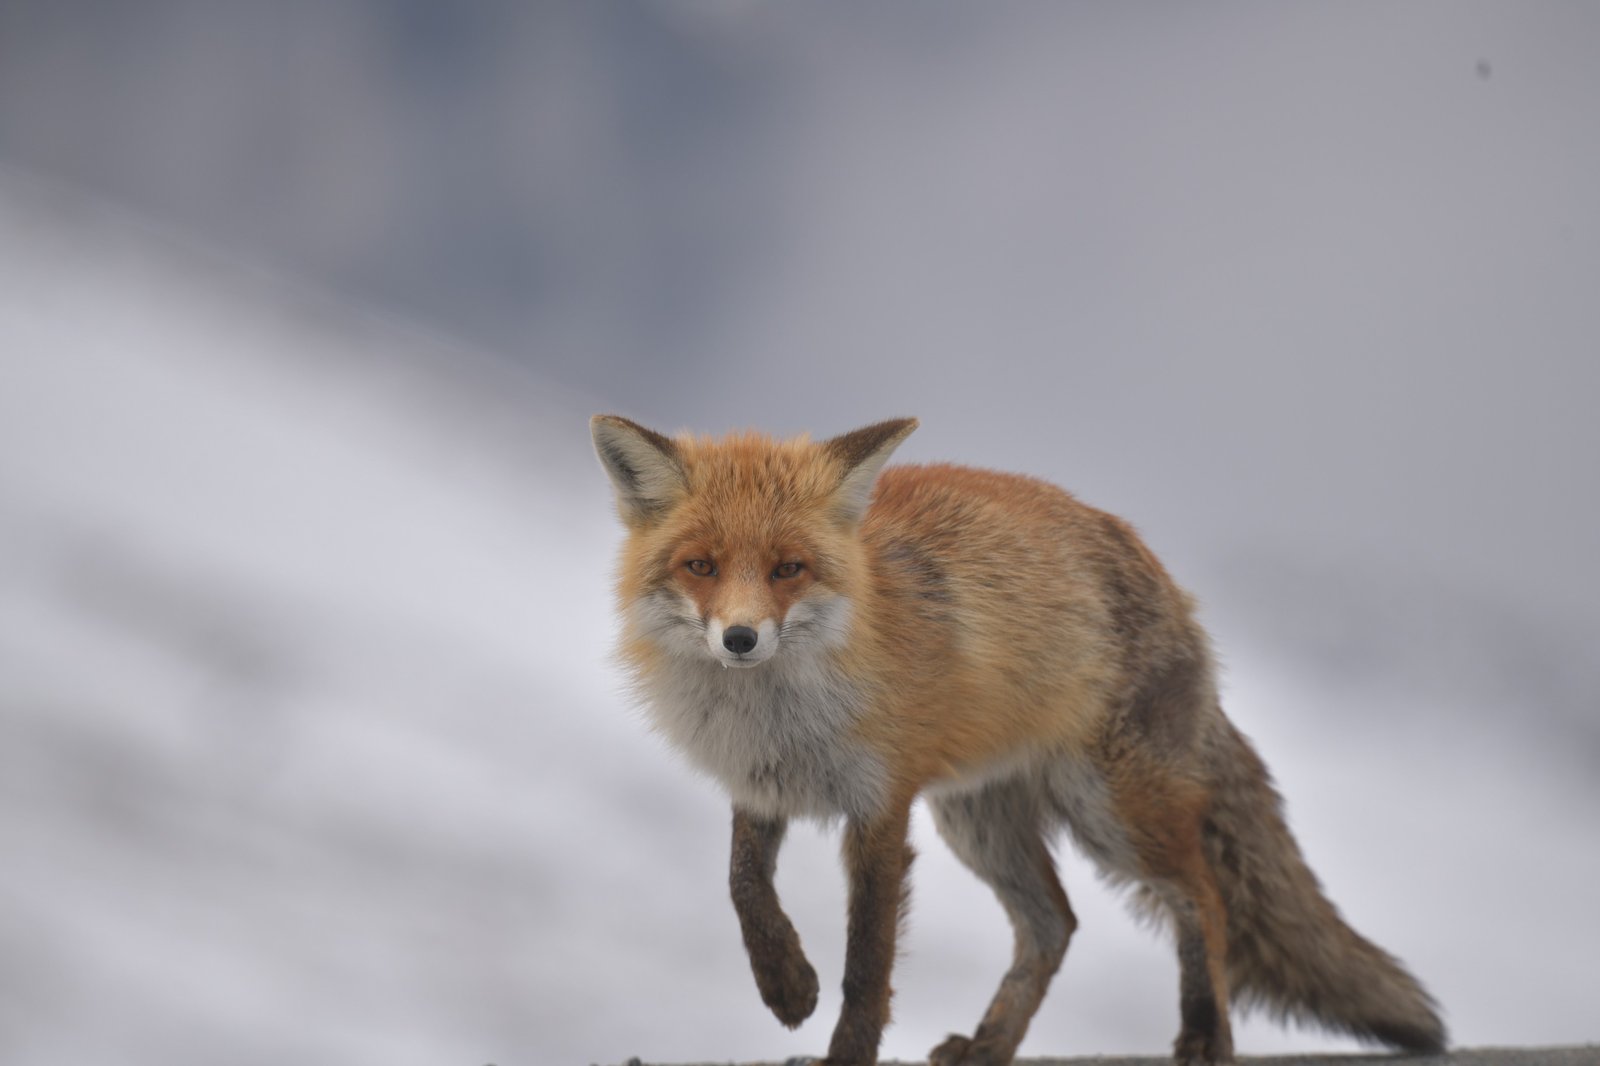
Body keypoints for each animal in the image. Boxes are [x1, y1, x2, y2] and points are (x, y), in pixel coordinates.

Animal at [589, 414, 1446, 1066]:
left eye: (788, 568)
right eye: (701, 566)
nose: (739, 639)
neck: (775, 713)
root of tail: (1169, 585)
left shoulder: (881, 806)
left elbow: (868, 967)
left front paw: (845, 1051)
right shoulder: (761, 785)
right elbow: (745, 892)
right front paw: (788, 985)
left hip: (1112, 814)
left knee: (1202, 899)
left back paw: (1206, 1037)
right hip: (978, 821)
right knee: (1055, 924)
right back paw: (990, 1046)